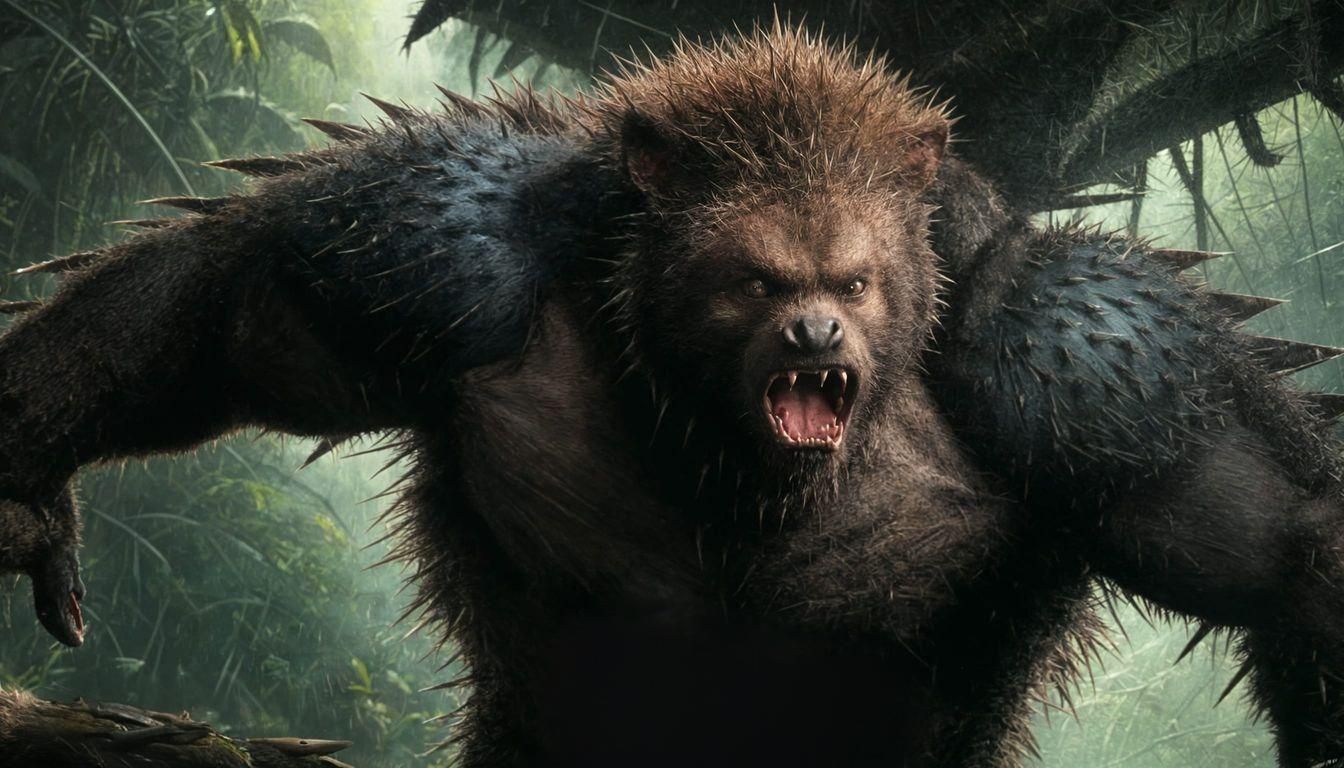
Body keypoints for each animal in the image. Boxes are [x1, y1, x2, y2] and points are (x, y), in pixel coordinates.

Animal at [2, 23, 1344, 766]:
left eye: (856, 280)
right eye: (756, 280)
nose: (816, 330)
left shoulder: (1079, 359)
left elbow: (1283, 548)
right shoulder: (454, 245)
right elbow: (242, 304)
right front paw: (26, 486)